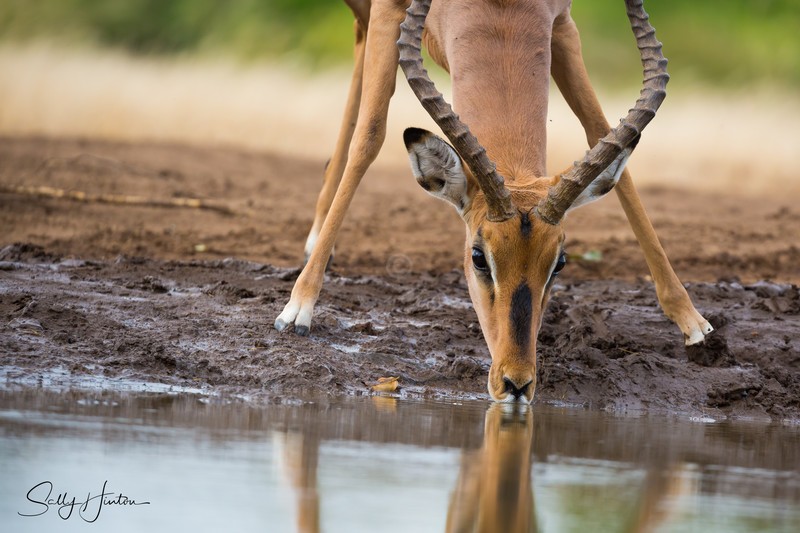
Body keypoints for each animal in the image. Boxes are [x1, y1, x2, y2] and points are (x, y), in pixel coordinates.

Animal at [274, 0, 714, 403]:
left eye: (560, 263)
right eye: (478, 257)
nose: (516, 383)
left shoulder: (563, 25)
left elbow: (599, 129)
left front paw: (691, 320)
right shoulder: (388, 11)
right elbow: (370, 135)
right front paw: (298, 309)